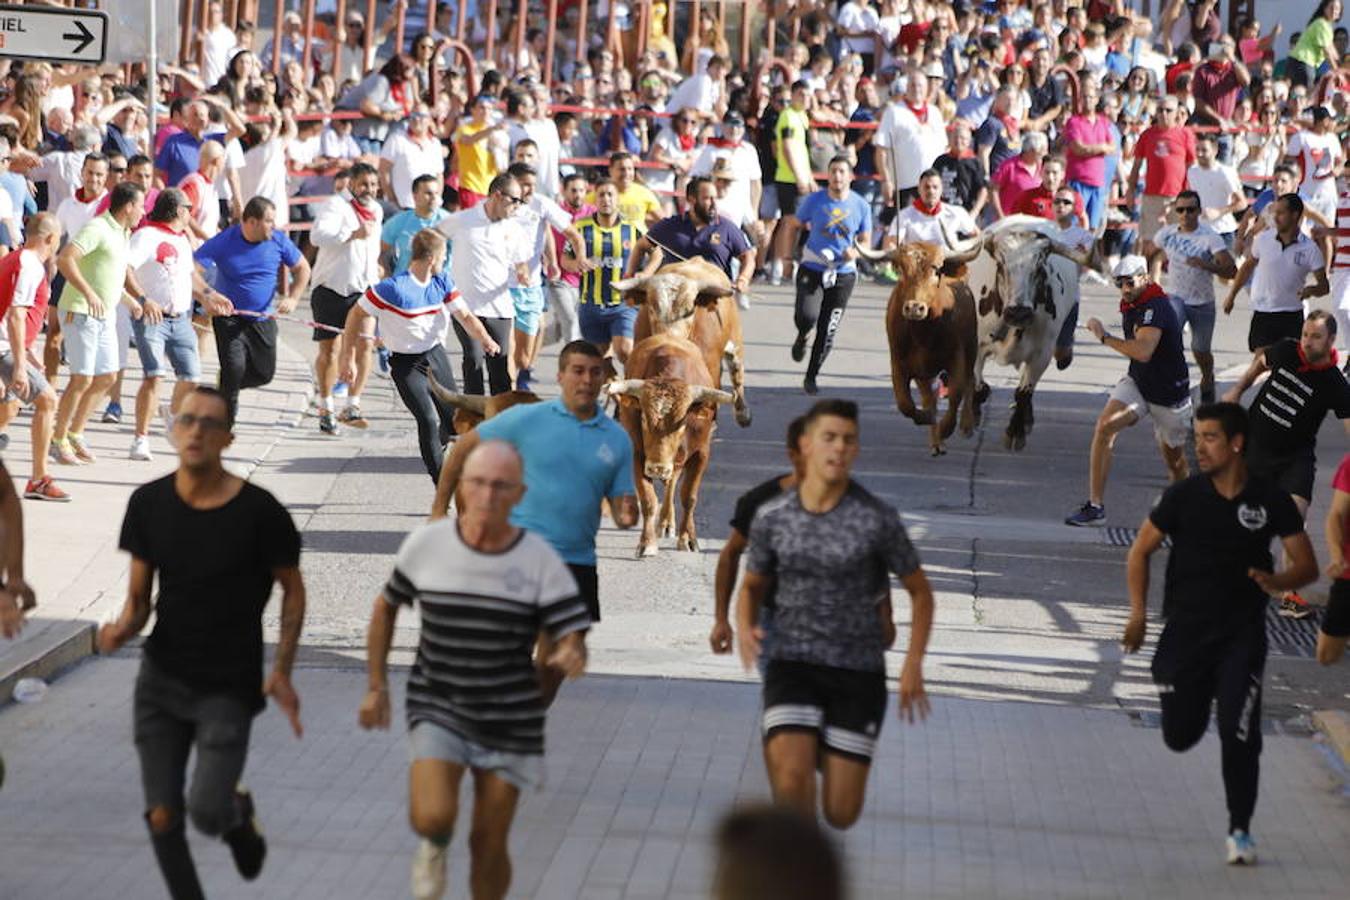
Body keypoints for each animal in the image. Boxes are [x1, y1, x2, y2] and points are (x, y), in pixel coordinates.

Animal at [610, 330, 739, 555]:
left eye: (682, 423)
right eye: (644, 419)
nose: (657, 468)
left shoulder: (701, 453)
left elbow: (689, 496)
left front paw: (687, 538)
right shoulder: (637, 453)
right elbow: (648, 500)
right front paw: (647, 543)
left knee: (674, 483)